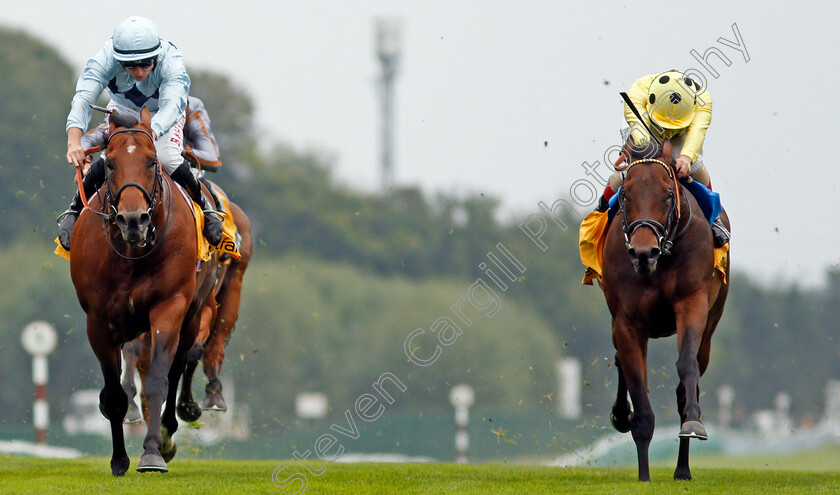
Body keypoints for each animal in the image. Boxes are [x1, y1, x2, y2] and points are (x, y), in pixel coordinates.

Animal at [69, 108, 218, 476]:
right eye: (108, 164)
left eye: (152, 162)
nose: (133, 220)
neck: (131, 255)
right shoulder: (99, 322)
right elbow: (114, 395)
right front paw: (119, 459)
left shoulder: (170, 308)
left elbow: (157, 382)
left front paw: (152, 453)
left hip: (192, 315)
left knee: (176, 368)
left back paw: (166, 436)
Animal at [120, 192, 253, 424]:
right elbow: (132, 349)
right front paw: (130, 405)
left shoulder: (202, 307)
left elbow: (193, 350)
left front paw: (186, 405)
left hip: (233, 286)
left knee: (215, 345)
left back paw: (214, 393)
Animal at [604, 140, 728, 480]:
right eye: (626, 195)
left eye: (668, 195)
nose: (643, 253)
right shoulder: (627, 322)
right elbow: (638, 393)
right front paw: (644, 476)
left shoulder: (692, 303)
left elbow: (687, 366)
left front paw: (694, 422)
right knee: (621, 361)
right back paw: (621, 414)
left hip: (711, 328)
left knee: (688, 383)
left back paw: (682, 468)